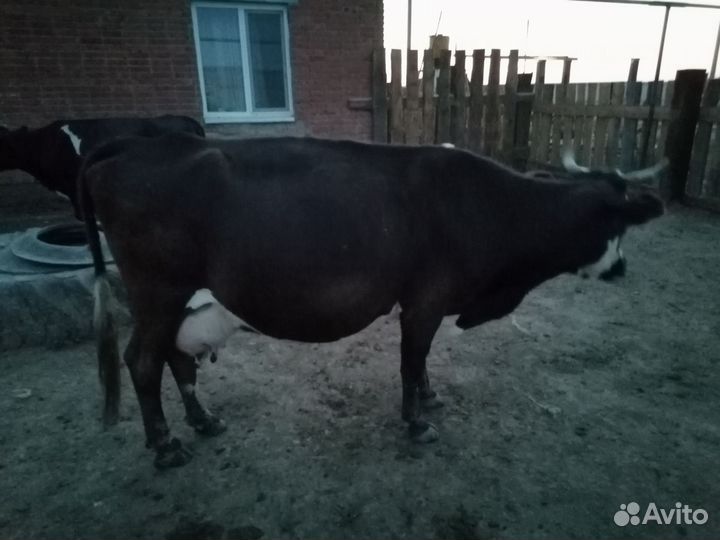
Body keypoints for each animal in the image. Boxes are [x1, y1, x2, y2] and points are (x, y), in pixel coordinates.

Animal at [78, 133, 666, 468]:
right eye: (616, 225)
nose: (622, 268)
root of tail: (127, 148)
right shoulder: (426, 298)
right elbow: (411, 359)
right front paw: (416, 422)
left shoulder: (428, 300)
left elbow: (421, 361)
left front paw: (429, 399)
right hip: (157, 288)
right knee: (142, 361)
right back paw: (165, 446)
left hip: (173, 297)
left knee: (175, 357)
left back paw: (203, 422)